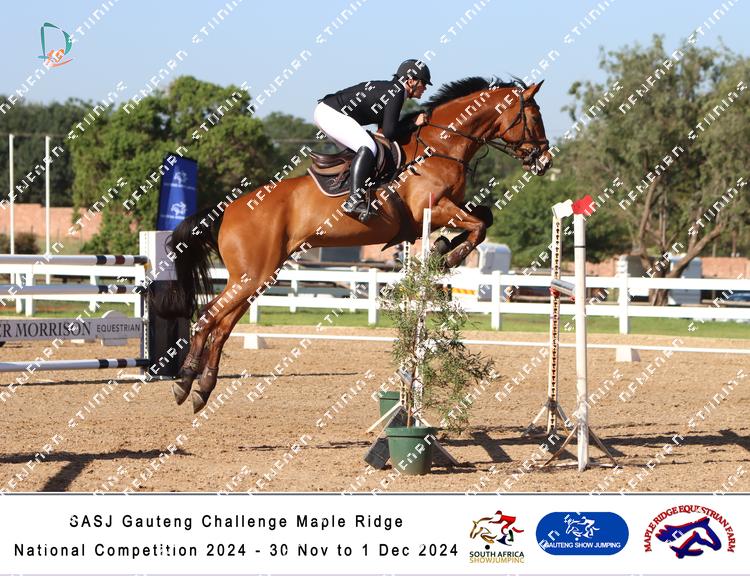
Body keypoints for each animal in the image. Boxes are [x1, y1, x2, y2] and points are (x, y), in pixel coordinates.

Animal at [154, 76, 553, 413]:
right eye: (534, 117)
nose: (545, 161)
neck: (440, 146)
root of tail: (227, 209)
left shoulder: (448, 208)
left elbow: (484, 218)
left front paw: (442, 249)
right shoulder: (434, 207)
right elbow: (478, 225)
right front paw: (448, 253)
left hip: (258, 277)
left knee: (221, 326)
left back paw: (203, 388)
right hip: (251, 275)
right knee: (208, 318)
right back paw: (184, 382)